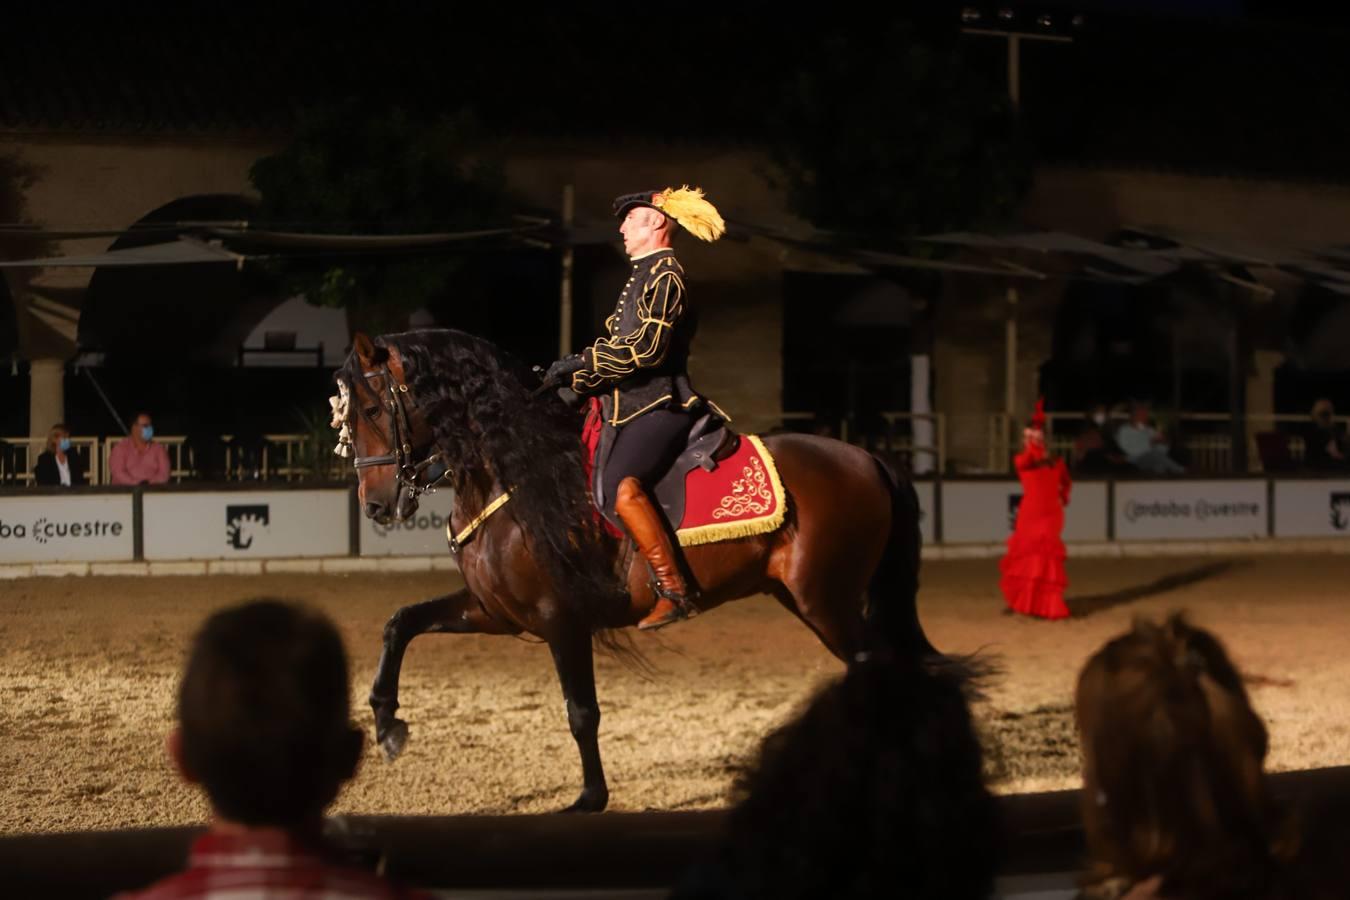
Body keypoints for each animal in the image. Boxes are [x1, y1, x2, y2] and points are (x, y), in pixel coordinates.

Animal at [337, 330, 934, 814]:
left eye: (372, 409)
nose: (376, 506)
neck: (517, 476)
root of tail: (868, 458)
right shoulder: (495, 612)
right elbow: (401, 622)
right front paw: (387, 724)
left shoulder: (561, 619)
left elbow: (582, 711)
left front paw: (589, 799)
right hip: (807, 599)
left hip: (826, 602)